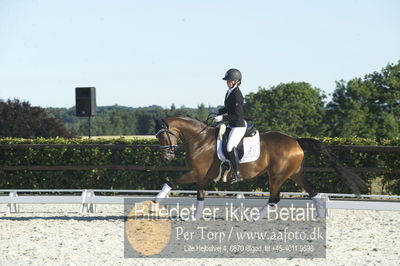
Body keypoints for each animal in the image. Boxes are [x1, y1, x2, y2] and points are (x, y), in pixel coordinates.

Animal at [153, 115, 366, 218]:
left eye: (163, 136)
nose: (167, 156)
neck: (200, 140)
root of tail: (295, 140)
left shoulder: (195, 172)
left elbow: (170, 182)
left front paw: (156, 201)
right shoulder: (200, 176)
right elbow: (200, 196)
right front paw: (195, 217)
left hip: (277, 174)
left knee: (274, 198)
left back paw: (254, 217)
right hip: (294, 173)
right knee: (312, 191)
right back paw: (320, 216)